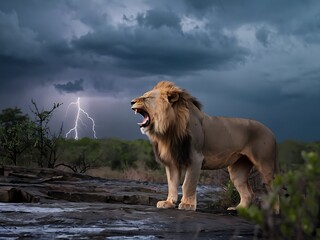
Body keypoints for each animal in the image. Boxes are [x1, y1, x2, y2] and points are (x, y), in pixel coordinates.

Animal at [130, 80, 278, 212]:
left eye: (146, 98)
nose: (131, 102)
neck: (169, 130)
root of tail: (270, 131)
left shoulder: (195, 158)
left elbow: (187, 184)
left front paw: (187, 205)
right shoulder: (172, 162)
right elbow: (172, 184)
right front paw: (168, 203)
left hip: (265, 163)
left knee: (274, 188)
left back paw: (275, 212)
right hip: (238, 168)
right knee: (248, 192)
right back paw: (238, 209)